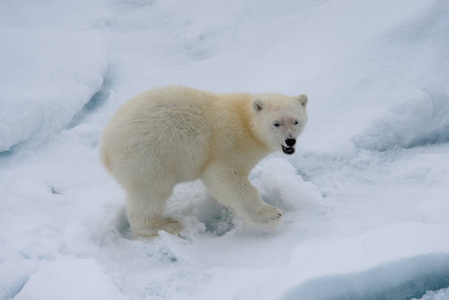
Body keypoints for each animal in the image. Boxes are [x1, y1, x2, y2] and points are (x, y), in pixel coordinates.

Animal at [99, 85, 306, 238]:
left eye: (296, 121)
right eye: (276, 123)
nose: (290, 141)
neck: (245, 123)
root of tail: (106, 147)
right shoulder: (228, 146)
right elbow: (224, 177)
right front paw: (271, 215)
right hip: (148, 156)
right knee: (150, 193)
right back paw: (166, 225)